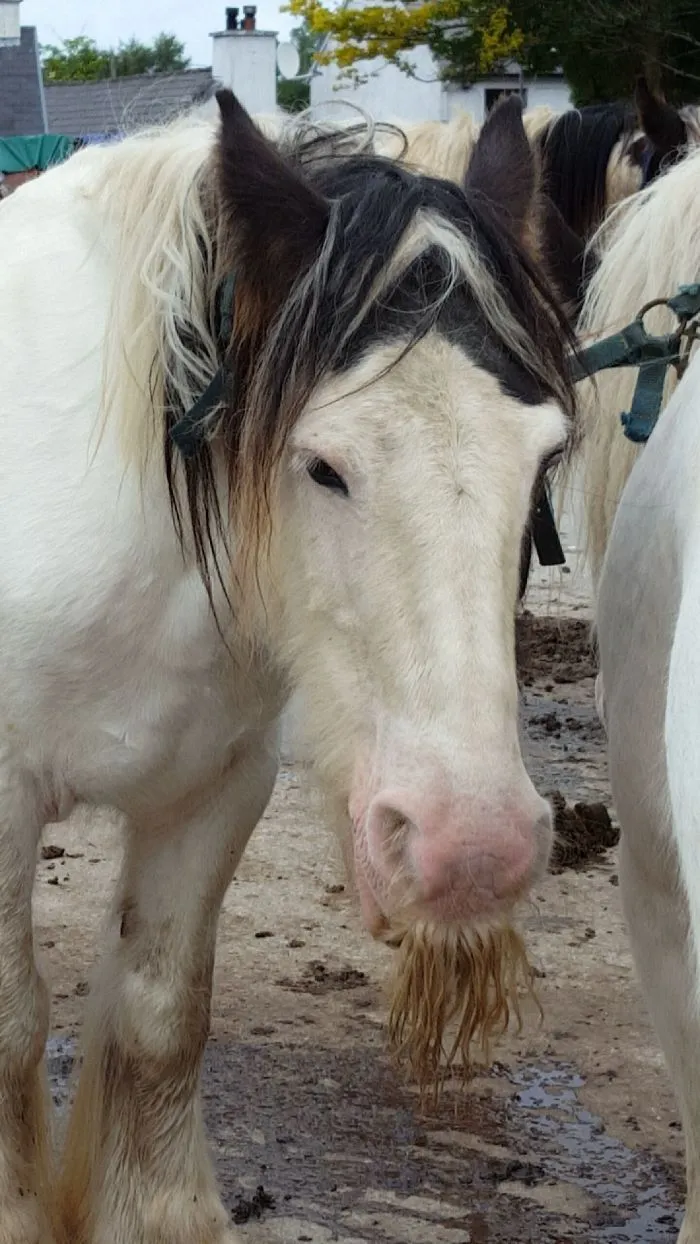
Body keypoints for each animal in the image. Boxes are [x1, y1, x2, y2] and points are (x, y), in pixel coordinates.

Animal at [0, 89, 577, 1243]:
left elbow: (162, 1015)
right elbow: (8, 1028)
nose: (473, 851)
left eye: (545, 456)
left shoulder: (215, 786)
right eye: (321, 466)